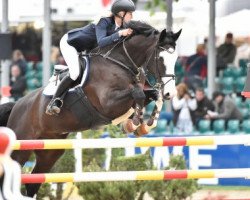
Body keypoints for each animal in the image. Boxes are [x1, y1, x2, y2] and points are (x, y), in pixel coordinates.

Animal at [0, 20, 181, 197]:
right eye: (161, 58)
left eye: (176, 58)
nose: (170, 93)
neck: (121, 62)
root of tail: (16, 105)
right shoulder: (108, 102)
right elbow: (138, 93)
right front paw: (134, 123)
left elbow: (153, 95)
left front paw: (144, 125)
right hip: (20, 148)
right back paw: (54, 105)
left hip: (50, 152)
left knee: (32, 184)